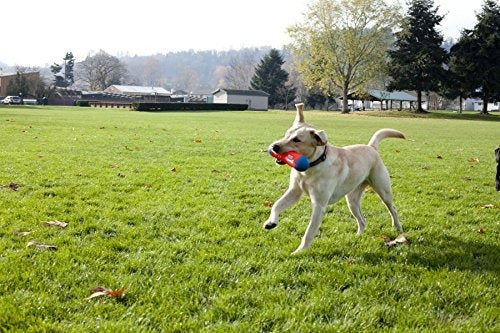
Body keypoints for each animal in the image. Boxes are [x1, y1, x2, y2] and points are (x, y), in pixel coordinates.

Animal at [264, 102, 404, 253]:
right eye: (286, 134)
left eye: (296, 140)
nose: (274, 146)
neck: (310, 167)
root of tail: (371, 147)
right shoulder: (294, 191)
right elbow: (277, 204)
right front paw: (271, 222)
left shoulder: (319, 205)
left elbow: (309, 231)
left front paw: (300, 251)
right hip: (352, 200)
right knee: (362, 220)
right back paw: (358, 236)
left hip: (383, 191)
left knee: (392, 208)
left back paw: (398, 228)